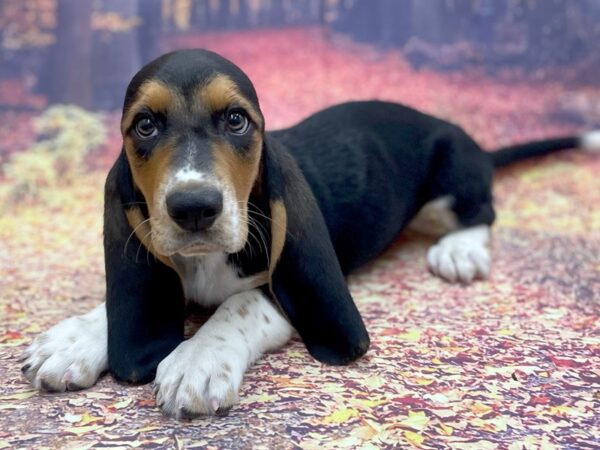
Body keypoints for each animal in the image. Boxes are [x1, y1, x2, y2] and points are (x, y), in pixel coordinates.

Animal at [21, 49, 596, 418]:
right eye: (145, 125)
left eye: (236, 120)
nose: (194, 207)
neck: (203, 262)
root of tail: (473, 142)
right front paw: (75, 339)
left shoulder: (284, 289)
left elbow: (237, 306)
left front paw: (196, 359)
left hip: (453, 174)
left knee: (483, 209)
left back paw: (459, 250)